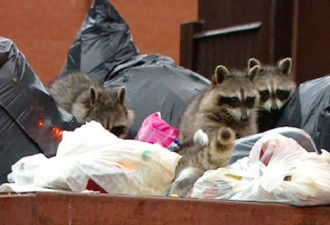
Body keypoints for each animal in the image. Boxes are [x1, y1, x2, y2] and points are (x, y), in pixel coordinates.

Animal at [168, 64, 260, 196]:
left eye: (249, 99)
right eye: (234, 99)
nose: (244, 117)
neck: (231, 116)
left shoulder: (249, 124)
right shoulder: (203, 118)